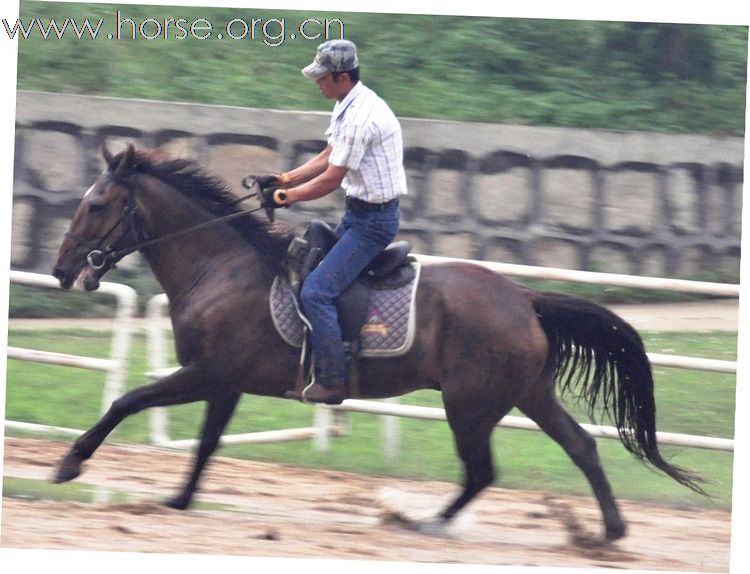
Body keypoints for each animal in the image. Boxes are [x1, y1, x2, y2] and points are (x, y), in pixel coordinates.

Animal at [51, 144, 704, 544]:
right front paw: (179, 501)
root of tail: (525, 298)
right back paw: (609, 532)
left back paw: (427, 523)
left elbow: (126, 401)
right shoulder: (225, 384)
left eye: (97, 204)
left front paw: (70, 462)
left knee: (482, 471)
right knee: (581, 448)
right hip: (527, 394)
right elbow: (207, 444)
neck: (220, 267)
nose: (62, 271)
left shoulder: (207, 373)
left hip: (470, 405)